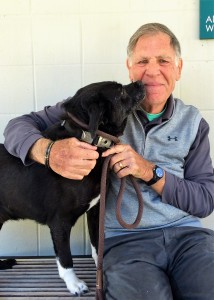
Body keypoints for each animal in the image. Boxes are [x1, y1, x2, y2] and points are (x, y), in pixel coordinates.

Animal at [0, 80, 145, 296]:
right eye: (120, 91)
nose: (142, 82)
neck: (89, 138)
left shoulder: (95, 210)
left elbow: (96, 245)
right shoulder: (59, 222)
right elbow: (65, 258)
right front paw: (74, 284)